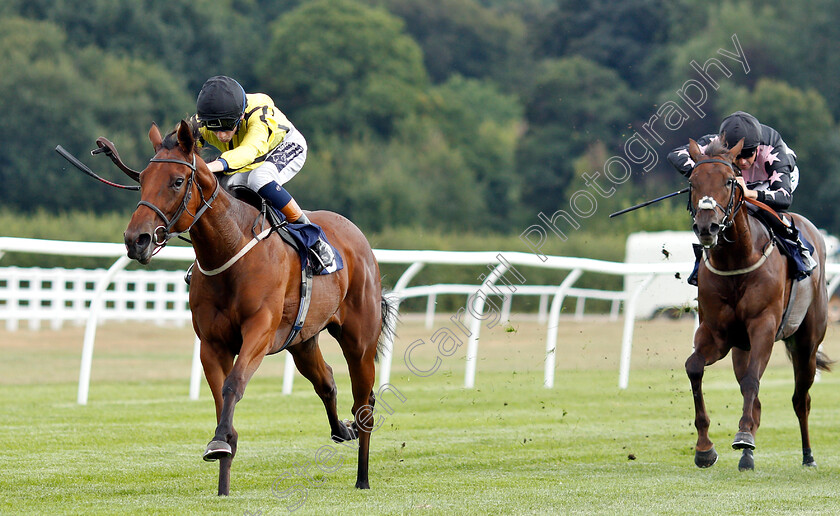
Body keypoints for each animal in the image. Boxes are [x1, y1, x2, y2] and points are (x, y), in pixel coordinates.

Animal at [121, 119, 394, 494]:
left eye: (177, 181)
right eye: (142, 180)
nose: (137, 240)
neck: (231, 249)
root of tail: (358, 237)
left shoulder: (259, 331)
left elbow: (233, 384)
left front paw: (220, 442)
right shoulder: (212, 343)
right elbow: (221, 396)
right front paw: (222, 464)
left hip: (359, 340)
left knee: (363, 403)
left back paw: (362, 477)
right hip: (303, 341)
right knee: (326, 381)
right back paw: (342, 429)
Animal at [684, 136, 832, 472]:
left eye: (729, 181)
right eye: (692, 182)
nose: (707, 227)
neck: (737, 259)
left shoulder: (763, 324)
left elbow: (754, 380)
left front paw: (742, 438)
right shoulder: (717, 333)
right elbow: (694, 367)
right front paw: (705, 448)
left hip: (806, 342)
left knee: (801, 399)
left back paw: (807, 456)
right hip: (742, 347)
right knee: (755, 397)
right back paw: (747, 455)